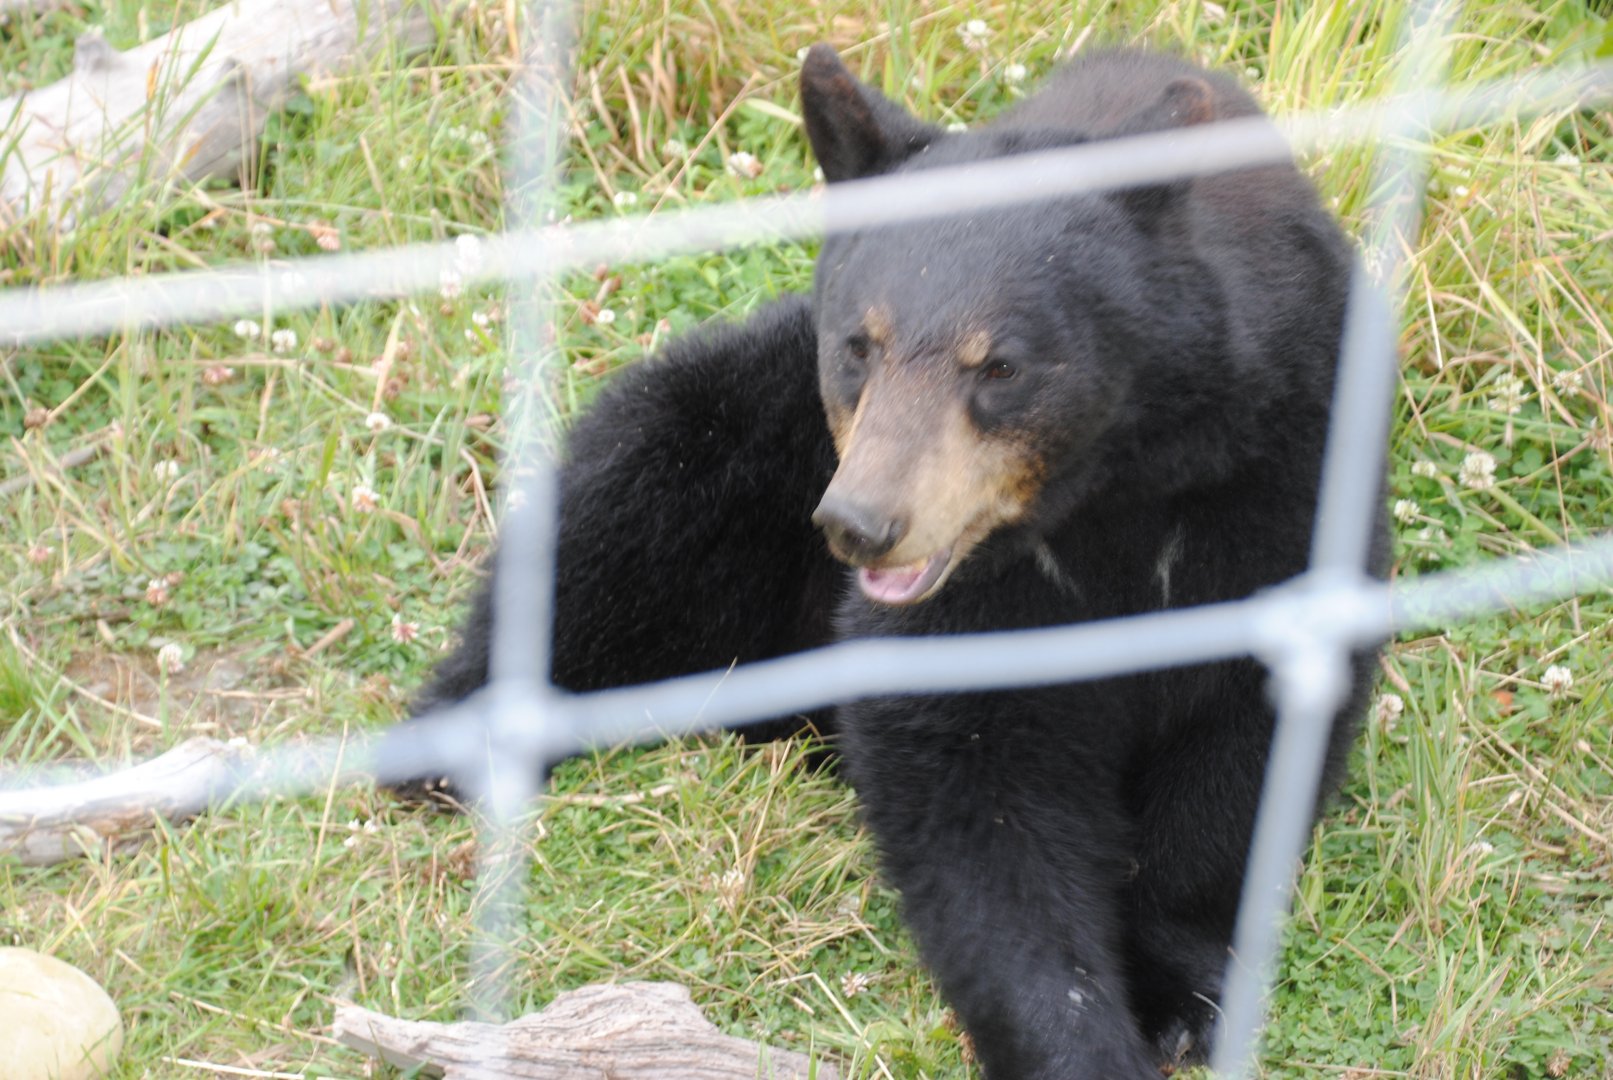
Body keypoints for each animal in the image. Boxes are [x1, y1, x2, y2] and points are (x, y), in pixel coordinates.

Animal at [388, 43, 1383, 1079]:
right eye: (859, 345)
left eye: (1001, 365)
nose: (862, 524)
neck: (1107, 494)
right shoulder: (962, 593)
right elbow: (971, 789)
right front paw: (1075, 1038)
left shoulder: (1285, 477)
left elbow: (1242, 751)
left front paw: (1175, 990)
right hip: (735, 419)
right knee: (615, 505)